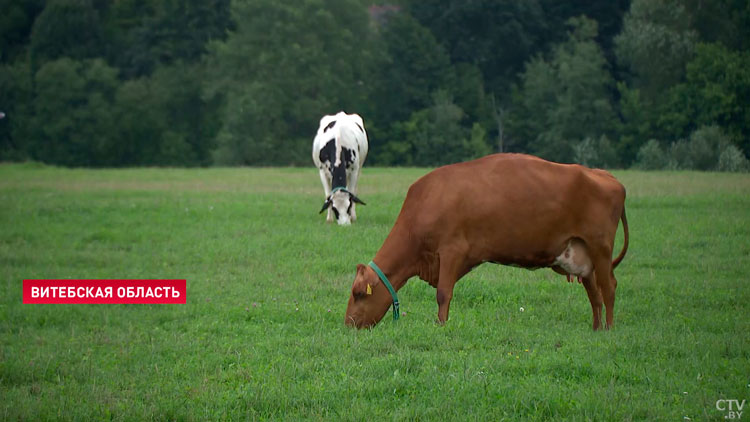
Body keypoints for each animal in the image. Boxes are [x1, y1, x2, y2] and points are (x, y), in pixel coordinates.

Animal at [346, 153, 628, 332]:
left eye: (358, 293)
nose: (349, 324)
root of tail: (604, 175)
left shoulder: (452, 251)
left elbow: (443, 293)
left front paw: (441, 326)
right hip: (583, 257)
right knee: (594, 294)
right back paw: (596, 328)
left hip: (601, 248)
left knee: (609, 287)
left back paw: (610, 328)